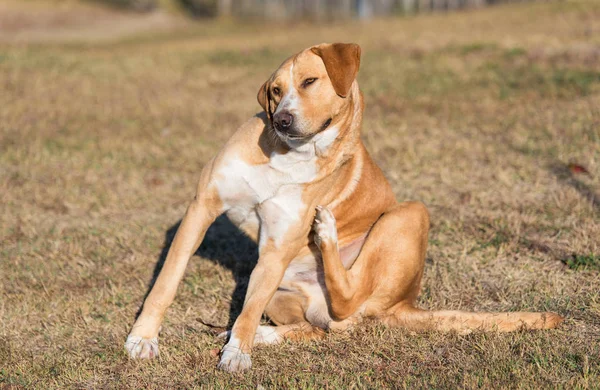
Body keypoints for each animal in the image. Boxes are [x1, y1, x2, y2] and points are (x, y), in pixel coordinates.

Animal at [124, 42, 564, 372]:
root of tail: (404, 305)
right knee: (320, 328)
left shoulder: (278, 246)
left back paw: (325, 237)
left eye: (310, 81)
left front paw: (237, 353)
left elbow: (246, 311)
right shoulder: (203, 207)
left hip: (410, 213)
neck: (290, 155)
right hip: (282, 292)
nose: (281, 120)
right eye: (274, 91)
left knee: (348, 297)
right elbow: (167, 281)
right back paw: (263, 333)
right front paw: (143, 338)